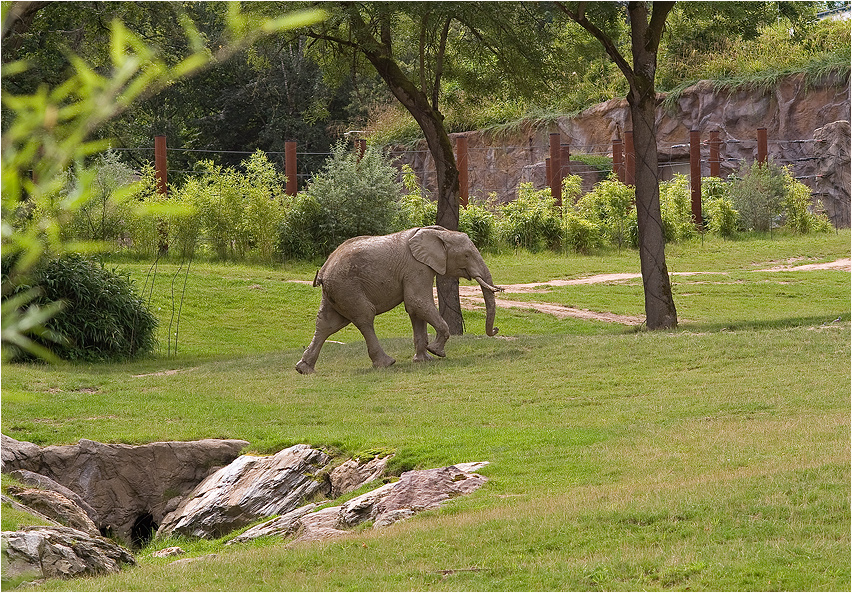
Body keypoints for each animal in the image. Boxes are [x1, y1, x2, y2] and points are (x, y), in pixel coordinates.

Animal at [296, 224, 502, 372]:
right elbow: (417, 302)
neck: (439, 234)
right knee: (364, 318)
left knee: (327, 323)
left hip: (336, 291)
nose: (496, 330)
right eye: (466, 255)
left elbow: (415, 310)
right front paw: (437, 352)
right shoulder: (417, 268)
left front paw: (424, 360)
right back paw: (387, 363)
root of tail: (323, 271)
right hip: (347, 287)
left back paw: (304, 369)